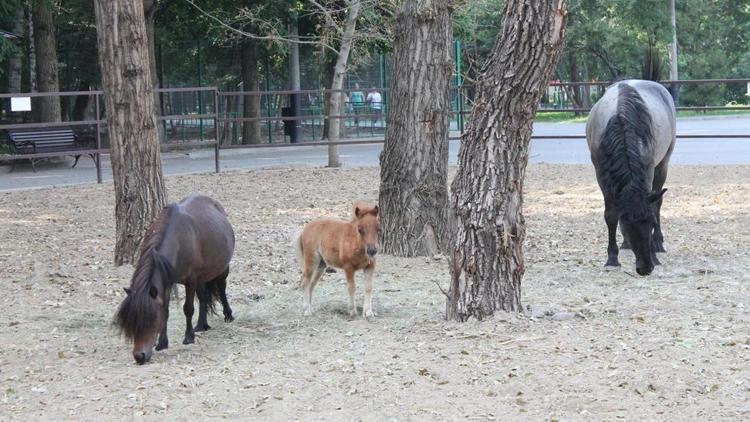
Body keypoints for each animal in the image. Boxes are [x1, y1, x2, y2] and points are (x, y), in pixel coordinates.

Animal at [114, 195, 235, 362]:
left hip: (222, 269)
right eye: (132, 323)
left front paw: (189, 337)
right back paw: (201, 325)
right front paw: (162, 343)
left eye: (150, 320)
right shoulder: (166, 283)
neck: (178, 239)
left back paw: (228, 314)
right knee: (203, 296)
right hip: (201, 278)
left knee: (222, 289)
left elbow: (188, 308)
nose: (139, 356)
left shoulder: (190, 280)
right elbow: (165, 310)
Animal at [592, 80, 680, 276]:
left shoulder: (648, 170)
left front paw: (655, 253)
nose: (646, 267)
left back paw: (658, 243)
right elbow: (610, 215)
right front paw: (612, 258)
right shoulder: (601, 175)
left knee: (658, 203)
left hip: (663, 164)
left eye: (651, 223)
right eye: (626, 225)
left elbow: (653, 207)